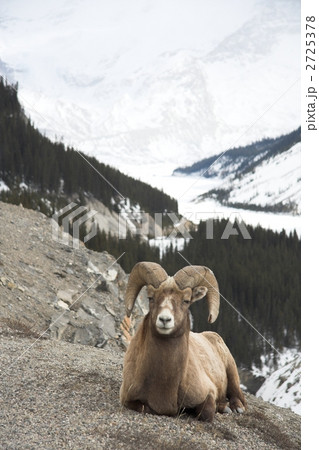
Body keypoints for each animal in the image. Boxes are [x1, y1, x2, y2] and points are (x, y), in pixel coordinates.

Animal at [120, 260, 248, 422]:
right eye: (150, 298)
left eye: (186, 300)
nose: (165, 319)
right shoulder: (127, 399)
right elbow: (143, 407)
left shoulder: (208, 392)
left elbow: (206, 413)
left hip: (232, 371)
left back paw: (234, 408)